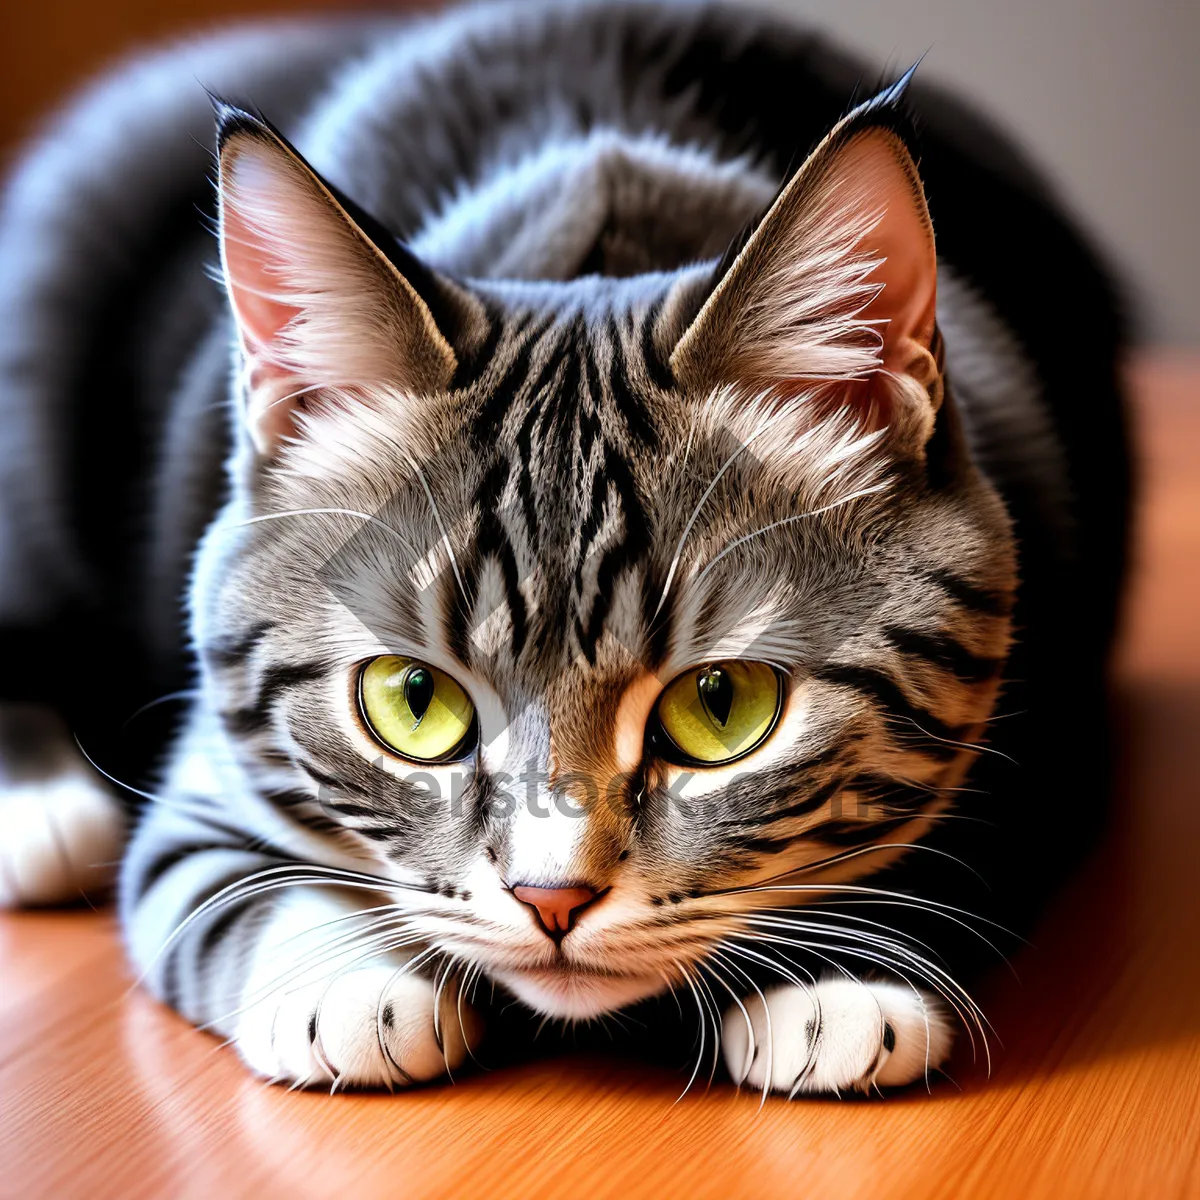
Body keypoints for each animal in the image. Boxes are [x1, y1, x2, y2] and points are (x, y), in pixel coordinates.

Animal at [0, 0, 1123, 1099]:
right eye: (413, 699)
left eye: (724, 706)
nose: (553, 899)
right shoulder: (210, 774)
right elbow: (208, 879)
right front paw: (349, 980)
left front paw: (836, 980)